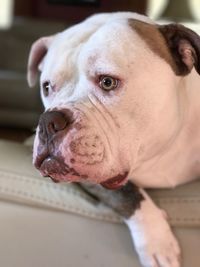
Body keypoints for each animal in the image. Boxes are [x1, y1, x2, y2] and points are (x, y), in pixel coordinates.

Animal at [26, 12, 200, 267]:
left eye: (107, 81)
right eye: (47, 87)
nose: (48, 121)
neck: (161, 152)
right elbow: (128, 194)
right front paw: (158, 242)